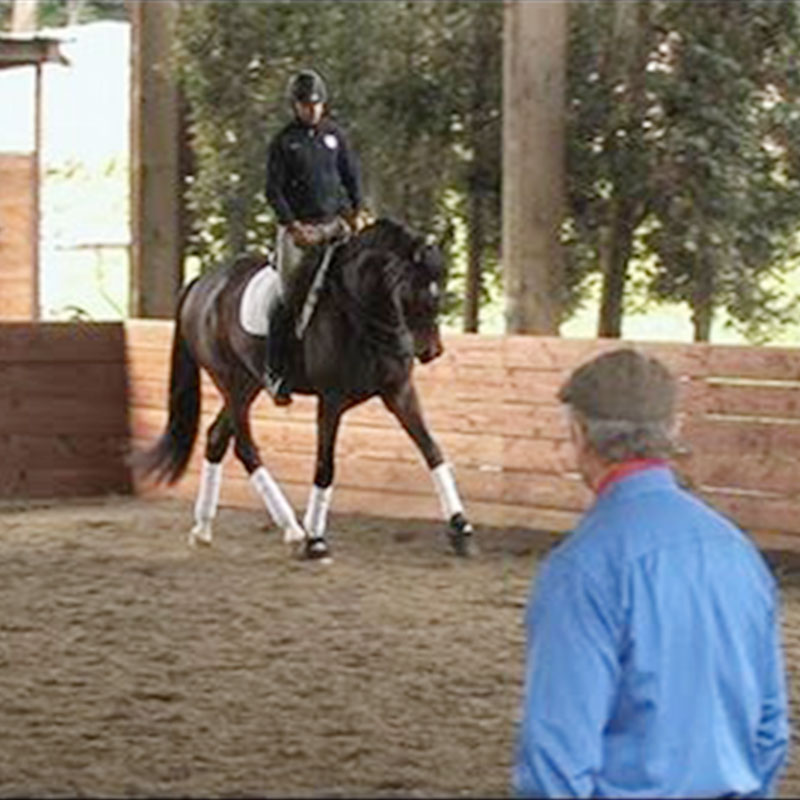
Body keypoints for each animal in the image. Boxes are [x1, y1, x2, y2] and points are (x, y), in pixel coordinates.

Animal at [133, 216, 476, 560]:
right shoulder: (331, 399)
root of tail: (201, 282)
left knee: (217, 438)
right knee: (244, 448)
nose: (432, 351)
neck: (361, 312)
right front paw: (315, 538)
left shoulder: (399, 391)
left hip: (249, 383)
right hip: (231, 381)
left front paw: (460, 528)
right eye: (415, 290)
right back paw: (293, 529)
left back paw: (204, 529)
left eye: (439, 289)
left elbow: (432, 451)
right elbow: (325, 466)